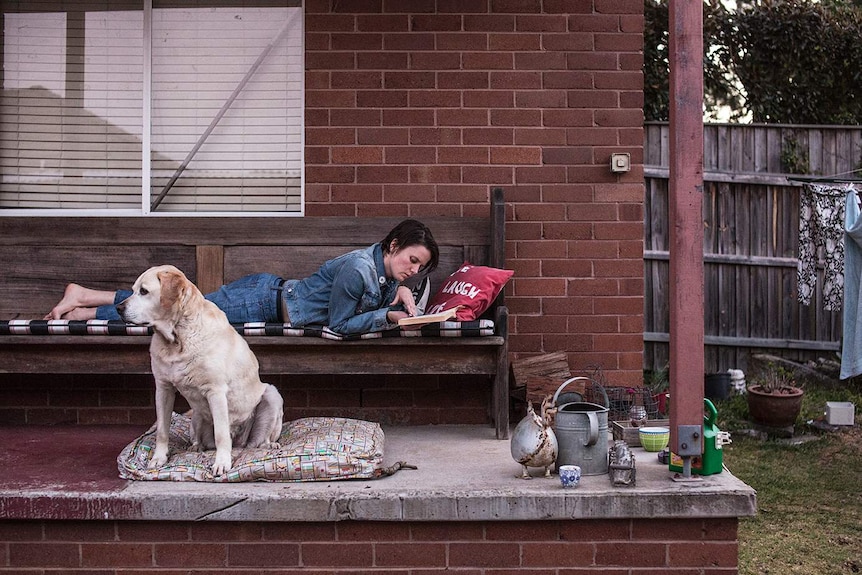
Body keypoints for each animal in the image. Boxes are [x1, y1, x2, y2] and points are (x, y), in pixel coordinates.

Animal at [117, 266, 284, 476]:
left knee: (258, 442)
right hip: (197, 416)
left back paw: (269, 445)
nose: (118, 308)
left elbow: (221, 434)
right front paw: (159, 458)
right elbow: (162, 430)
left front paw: (222, 463)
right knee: (201, 440)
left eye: (144, 291)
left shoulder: (216, 391)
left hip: (271, 394)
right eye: (133, 290)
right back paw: (195, 447)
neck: (177, 340)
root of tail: (240, 443)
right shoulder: (163, 388)